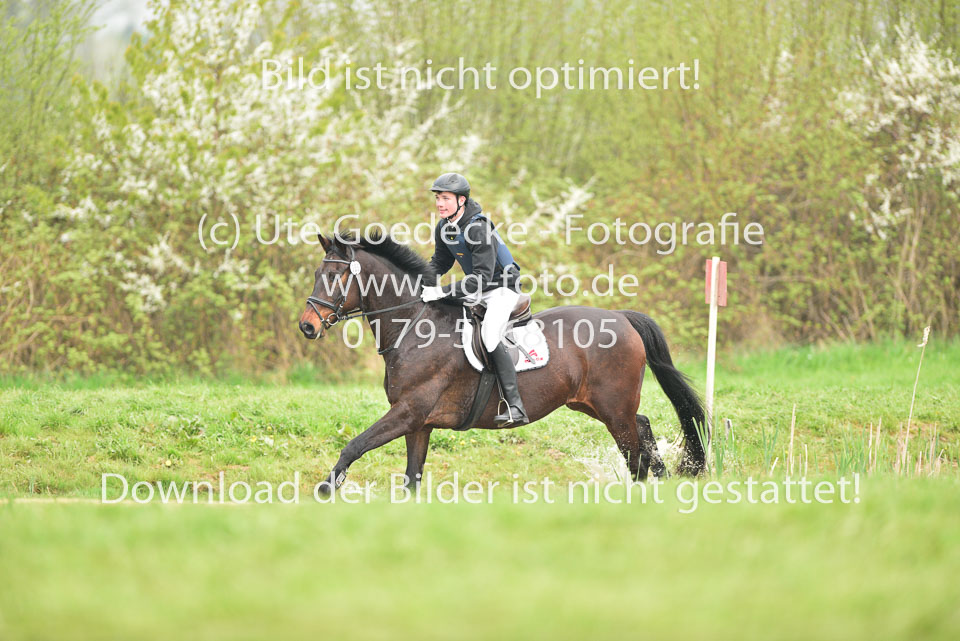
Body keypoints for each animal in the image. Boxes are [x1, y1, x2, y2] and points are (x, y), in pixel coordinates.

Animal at [298, 232, 706, 492]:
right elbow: (412, 478)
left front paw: (327, 487)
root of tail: (621, 317)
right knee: (644, 428)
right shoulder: (418, 424)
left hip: (613, 408)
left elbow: (355, 445)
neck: (414, 325)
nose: (307, 325)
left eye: (333, 276)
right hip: (594, 404)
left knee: (635, 451)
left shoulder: (409, 411)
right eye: (318, 274)